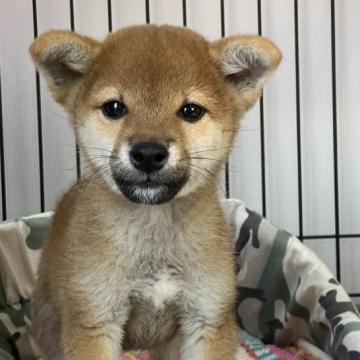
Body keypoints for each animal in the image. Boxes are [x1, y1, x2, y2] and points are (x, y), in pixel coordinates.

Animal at [29, 23, 282, 358]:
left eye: (191, 111)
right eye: (114, 107)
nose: (148, 153)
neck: (155, 234)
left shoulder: (206, 317)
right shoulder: (95, 319)